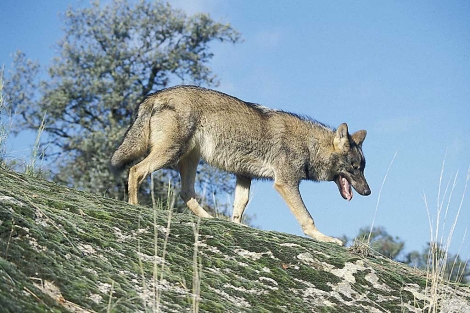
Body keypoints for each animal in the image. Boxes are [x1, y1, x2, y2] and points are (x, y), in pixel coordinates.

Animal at [111, 84, 370, 244]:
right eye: (355, 167)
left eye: (362, 168)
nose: (368, 191)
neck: (309, 145)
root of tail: (155, 96)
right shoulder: (285, 183)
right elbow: (307, 218)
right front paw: (325, 238)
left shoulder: (244, 176)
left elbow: (239, 207)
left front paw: (237, 226)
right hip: (170, 154)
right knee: (136, 170)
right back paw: (134, 206)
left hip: (189, 159)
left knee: (186, 192)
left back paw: (210, 219)